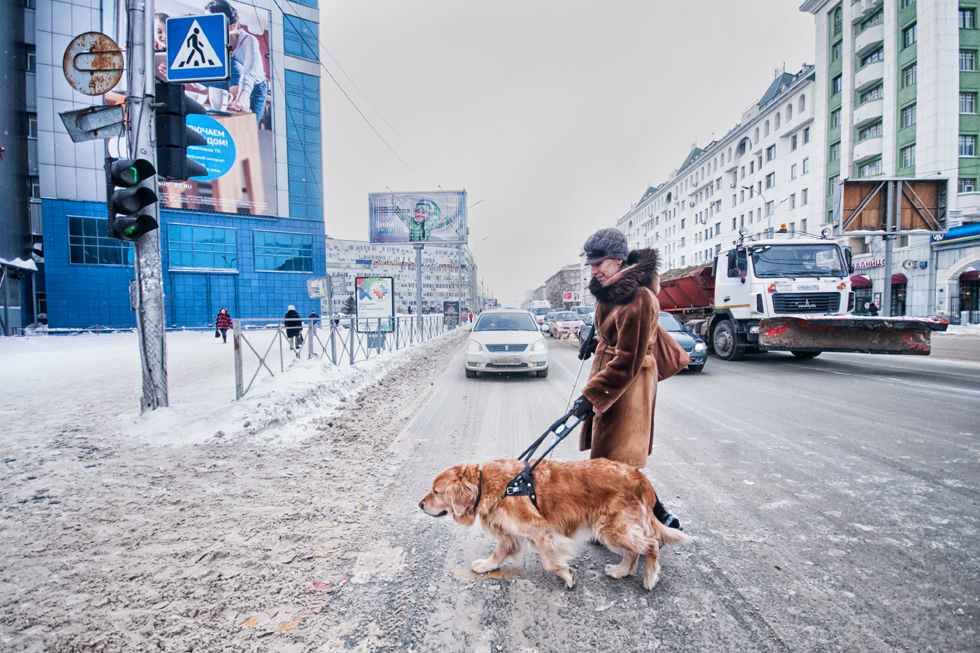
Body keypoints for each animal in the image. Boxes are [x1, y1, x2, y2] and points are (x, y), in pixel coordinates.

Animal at [418, 456, 692, 588]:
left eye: (436, 491)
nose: (419, 504)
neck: (488, 484)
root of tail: (639, 476)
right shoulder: (510, 532)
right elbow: (498, 554)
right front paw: (486, 566)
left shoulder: (540, 530)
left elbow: (550, 562)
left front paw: (567, 576)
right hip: (613, 528)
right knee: (634, 551)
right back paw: (621, 571)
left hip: (611, 528)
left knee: (650, 545)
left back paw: (649, 578)